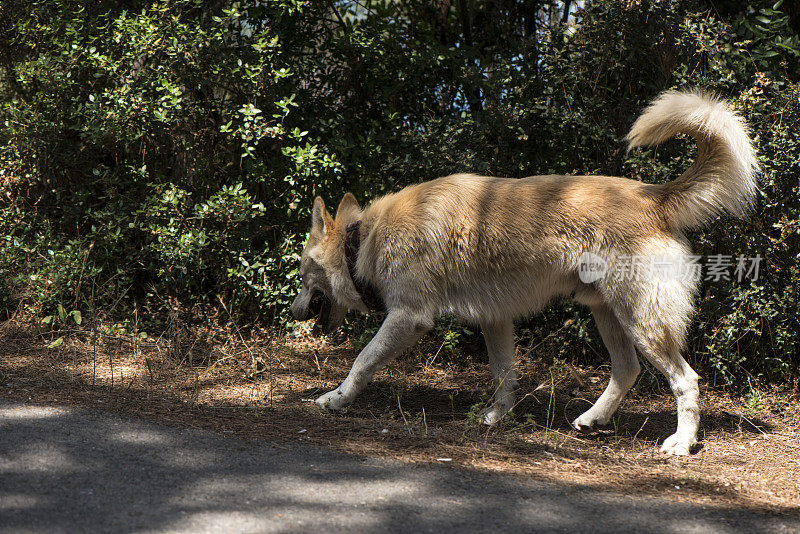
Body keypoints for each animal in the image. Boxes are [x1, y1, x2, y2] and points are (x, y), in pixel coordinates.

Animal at [288, 91, 756, 456]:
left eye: (302, 270)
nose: (291, 312)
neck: (364, 240)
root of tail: (653, 195)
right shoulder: (494, 319)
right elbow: (503, 375)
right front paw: (496, 417)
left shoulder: (409, 317)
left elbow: (362, 361)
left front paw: (335, 399)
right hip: (608, 314)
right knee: (627, 371)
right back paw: (591, 420)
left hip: (642, 321)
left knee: (685, 380)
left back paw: (682, 444)